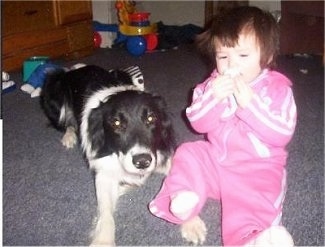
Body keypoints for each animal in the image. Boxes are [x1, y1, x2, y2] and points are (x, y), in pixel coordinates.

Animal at [39, 65, 175, 245]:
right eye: (116, 123)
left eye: (151, 118)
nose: (142, 162)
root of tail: (73, 70)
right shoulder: (104, 173)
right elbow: (106, 212)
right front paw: (103, 239)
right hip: (54, 89)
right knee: (64, 123)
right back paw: (69, 136)